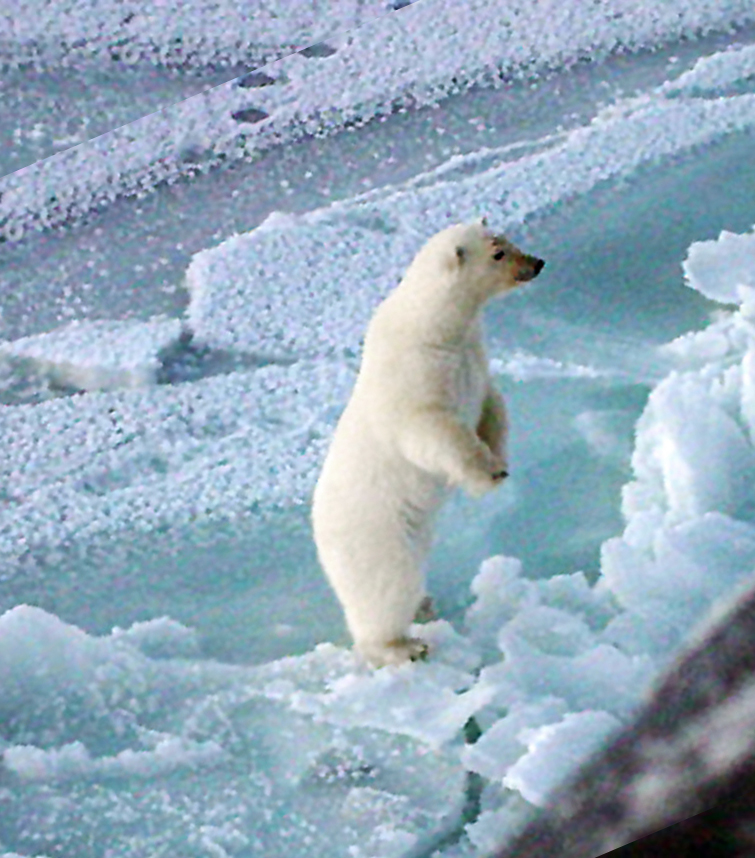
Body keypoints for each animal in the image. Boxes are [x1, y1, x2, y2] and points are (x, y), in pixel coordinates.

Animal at [312, 217, 544, 664]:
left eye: (507, 239)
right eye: (498, 253)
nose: (537, 263)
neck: (434, 327)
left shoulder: (473, 356)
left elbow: (492, 404)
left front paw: (500, 459)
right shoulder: (415, 376)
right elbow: (432, 432)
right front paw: (488, 474)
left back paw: (423, 603)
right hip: (376, 536)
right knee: (386, 589)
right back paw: (403, 645)